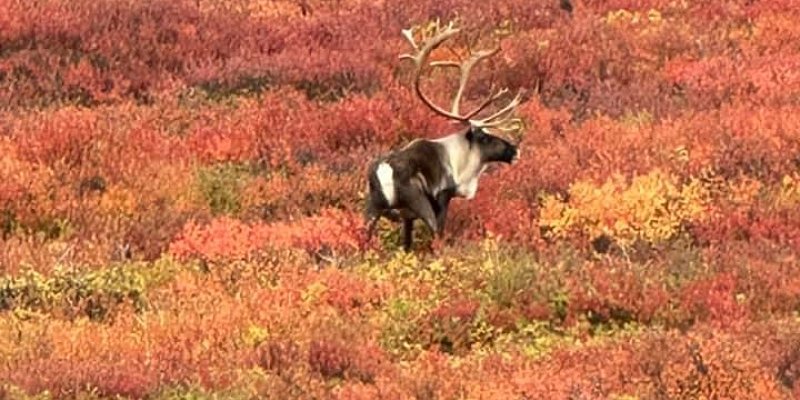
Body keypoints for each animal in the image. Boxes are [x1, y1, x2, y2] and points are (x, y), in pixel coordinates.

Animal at [364, 19, 527, 251]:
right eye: (485, 137)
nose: (515, 150)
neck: (460, 159)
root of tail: (384, 170)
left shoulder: (406, 217)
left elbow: (406, 244)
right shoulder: (442, 197)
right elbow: (439, 231)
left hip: (372, 206)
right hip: (419, 203)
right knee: (435, 235)